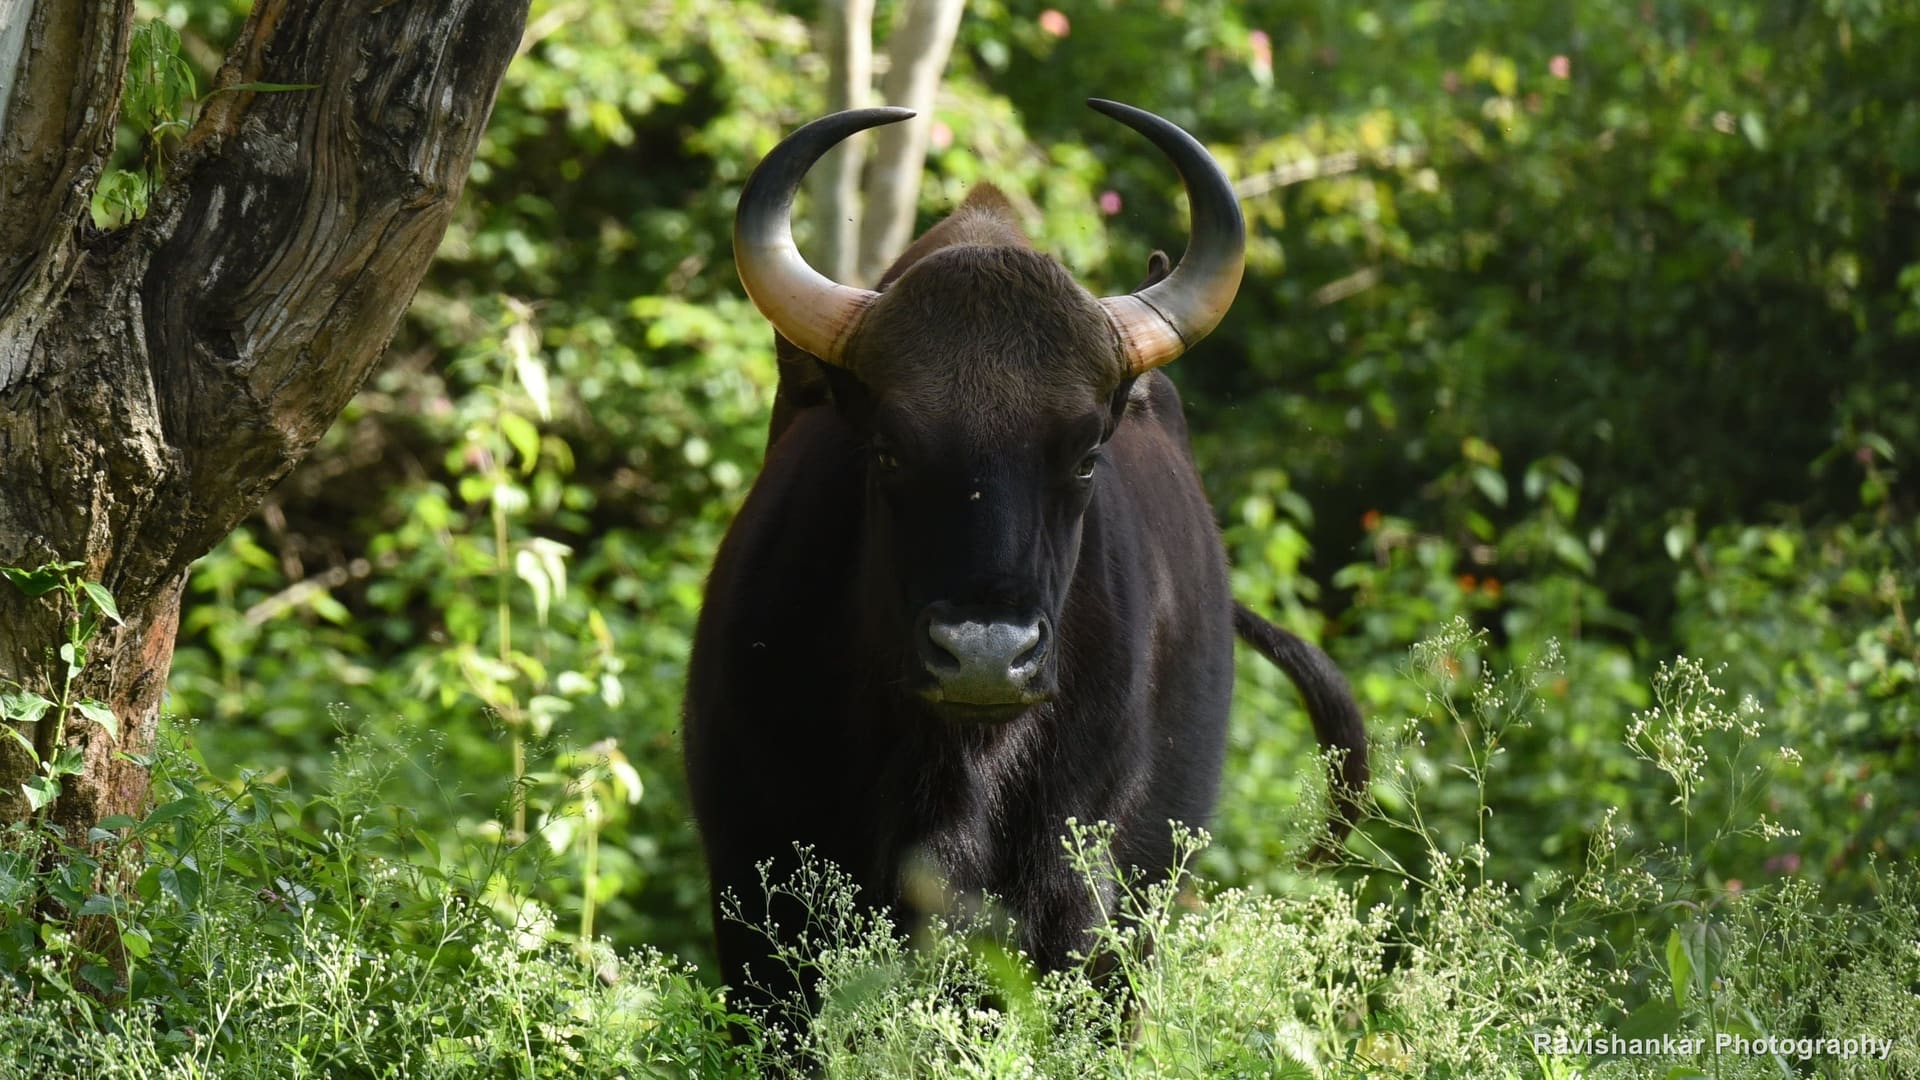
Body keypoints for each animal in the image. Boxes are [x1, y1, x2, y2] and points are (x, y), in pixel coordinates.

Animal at [684, 99, 1368, 1032]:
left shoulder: (1082, 895)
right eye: (888, 450)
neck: (957, 768)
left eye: (1085, 455)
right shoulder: (754, 874)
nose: (984, 654)